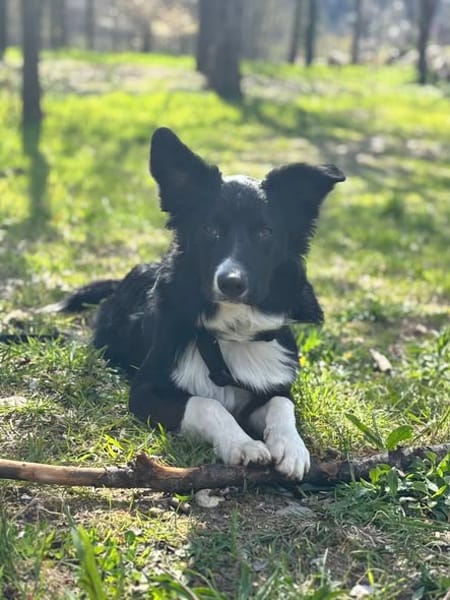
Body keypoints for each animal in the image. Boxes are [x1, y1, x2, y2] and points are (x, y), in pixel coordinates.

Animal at [58, 127, 345, 480]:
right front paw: (243, 444)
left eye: (265, 232)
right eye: (210, 229)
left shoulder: (272, 386)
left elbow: (282, 404)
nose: (232, 282)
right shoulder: (145, 392)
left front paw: (292, 447)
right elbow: (207, 403)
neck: (231, 332)